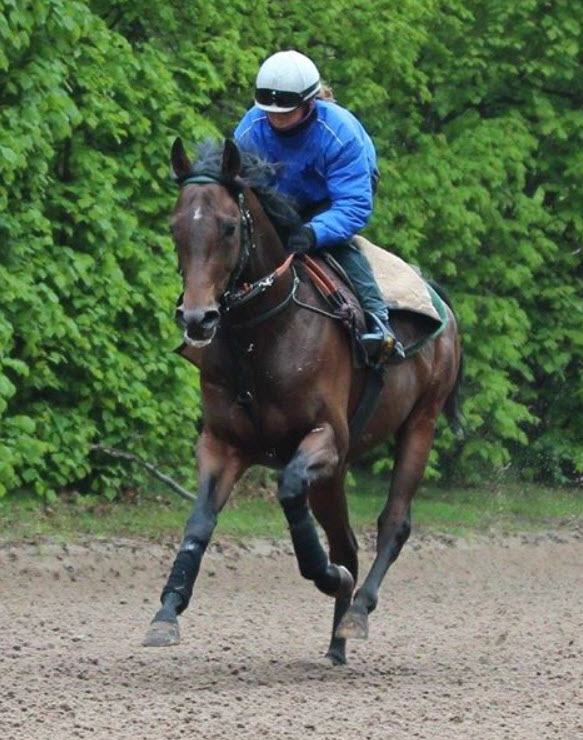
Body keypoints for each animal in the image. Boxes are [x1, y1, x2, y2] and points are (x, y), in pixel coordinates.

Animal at [142, 138, 463, 665]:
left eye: (229, 226)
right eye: (175, 227)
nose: (197, 318)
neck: (262, 337)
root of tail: (439, 303)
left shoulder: (326, 438)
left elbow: (290, 491)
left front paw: (327, 576)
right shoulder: (223, 443)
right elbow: (199, 521)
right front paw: (166, 611)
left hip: (422, 422)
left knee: (392, 524)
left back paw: (356, 611)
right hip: (337, 473)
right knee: (347, 541)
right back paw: (336, 644)